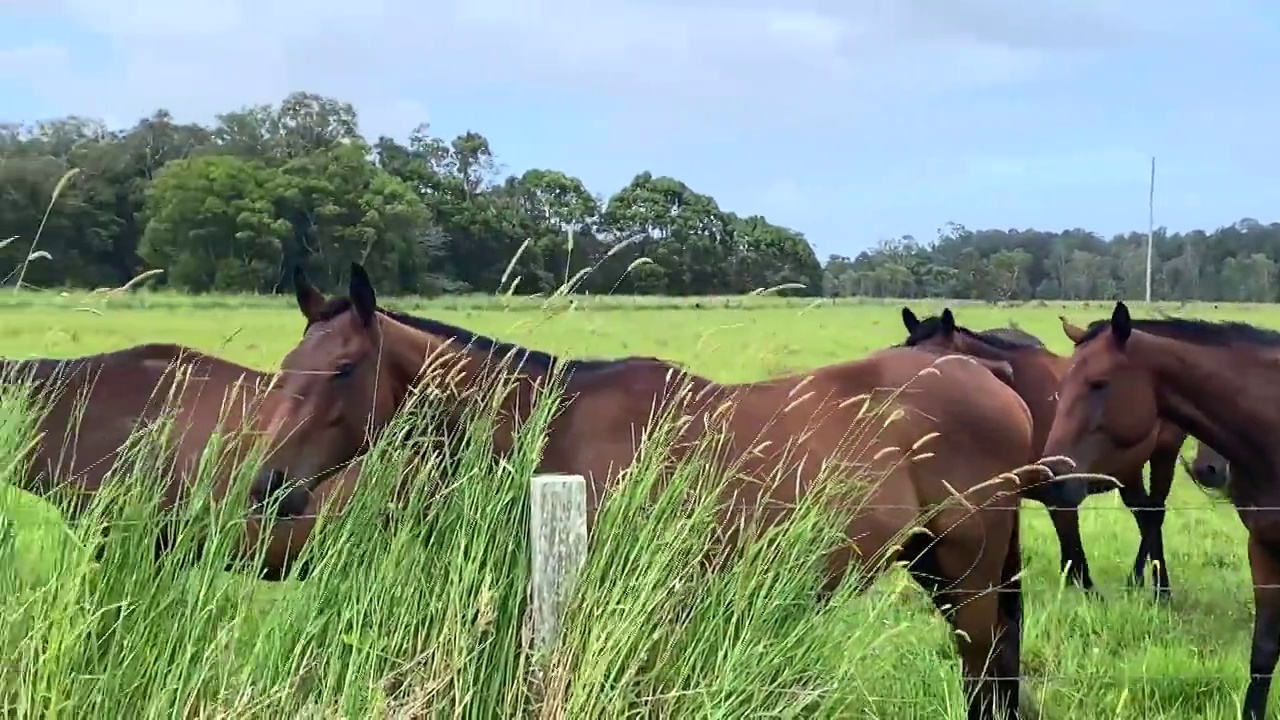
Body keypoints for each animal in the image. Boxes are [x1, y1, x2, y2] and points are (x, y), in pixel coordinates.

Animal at [244, 263, 1064, 717]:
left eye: (343, 368)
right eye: (288, 363)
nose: (268, 485)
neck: (556, 428)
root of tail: (988, 377)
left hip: (968, 572)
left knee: (984, 673)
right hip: (934, 563)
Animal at [901, 304, 1187, 597]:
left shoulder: (1061, 494)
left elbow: (1077, 563)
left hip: (1163, 456)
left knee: (1154, 514)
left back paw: (1160, 588)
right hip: (1129, 471)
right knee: (1144, 514)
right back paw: (1137, 581)